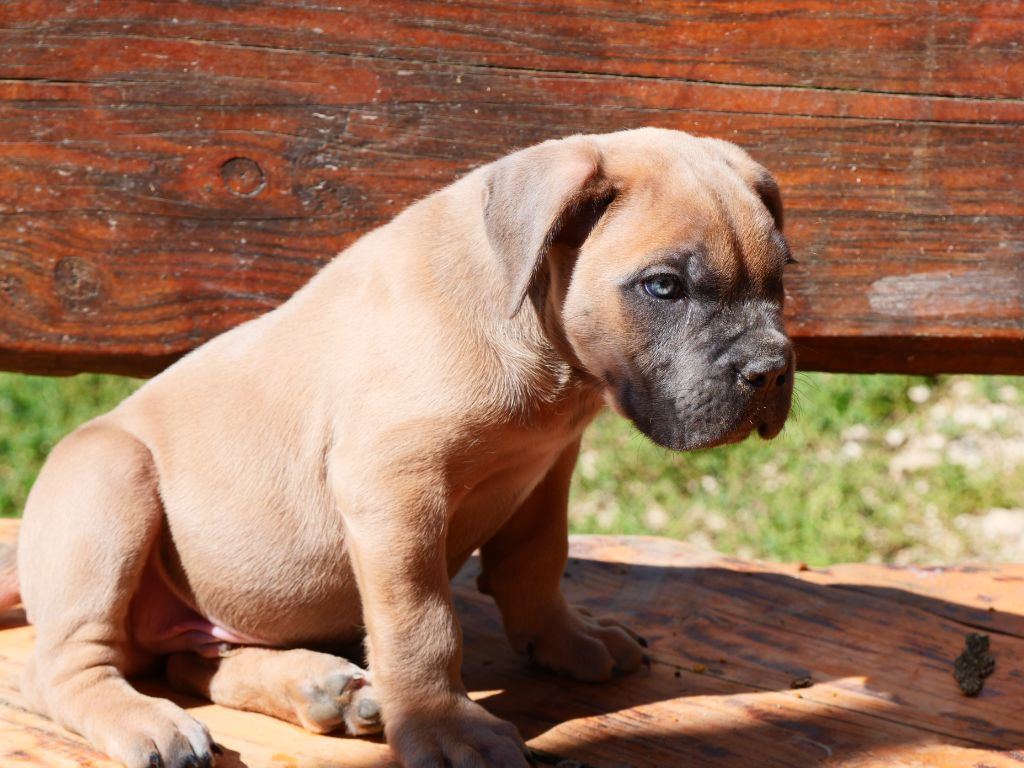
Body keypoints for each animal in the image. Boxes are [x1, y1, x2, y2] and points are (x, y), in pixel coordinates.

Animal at [6, 129, 790, 765]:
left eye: (781, 278)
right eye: (664, 287)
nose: (771, 369)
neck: (537, 337)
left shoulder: (544, 473)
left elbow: (537, 562)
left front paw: (564, 639)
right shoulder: (395, 493)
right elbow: (423, 623)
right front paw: (446, 730)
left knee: (192, 663)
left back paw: (321, 688)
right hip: (109, 481)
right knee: (66, 667)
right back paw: (152, 724)